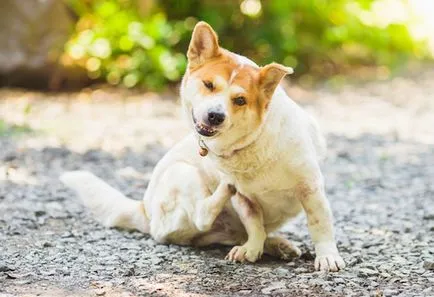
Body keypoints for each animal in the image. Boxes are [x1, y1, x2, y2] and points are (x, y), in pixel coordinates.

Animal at [61, 20, 346, 270]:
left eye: (240, 100)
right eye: (209, 85)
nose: (215, 116)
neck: (253, 143)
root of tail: (144, 210)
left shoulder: (310, 188)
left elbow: (319, 224)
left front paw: (327, 256)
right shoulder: (244, 200)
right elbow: (254, 224)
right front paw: (252, 248)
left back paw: (277, 245)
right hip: (183, 173)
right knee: (202, 216)